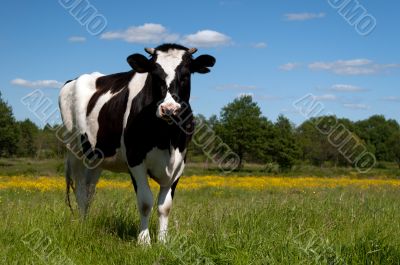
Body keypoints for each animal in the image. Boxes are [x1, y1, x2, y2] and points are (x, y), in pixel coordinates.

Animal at [58, 43, 216, 243]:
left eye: (186, 74)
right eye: (154, 74)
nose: (169, 109)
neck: (167, 139)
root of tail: (75, 79)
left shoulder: (180, 162)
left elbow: (165, 206)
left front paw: (163, 241)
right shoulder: (135, 159)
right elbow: (145, 201)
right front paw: (144, 241)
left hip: (95, 159)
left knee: (89, 191)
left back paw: (87, 223)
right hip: (75, 152)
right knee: (79, 190)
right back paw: (82, 225)